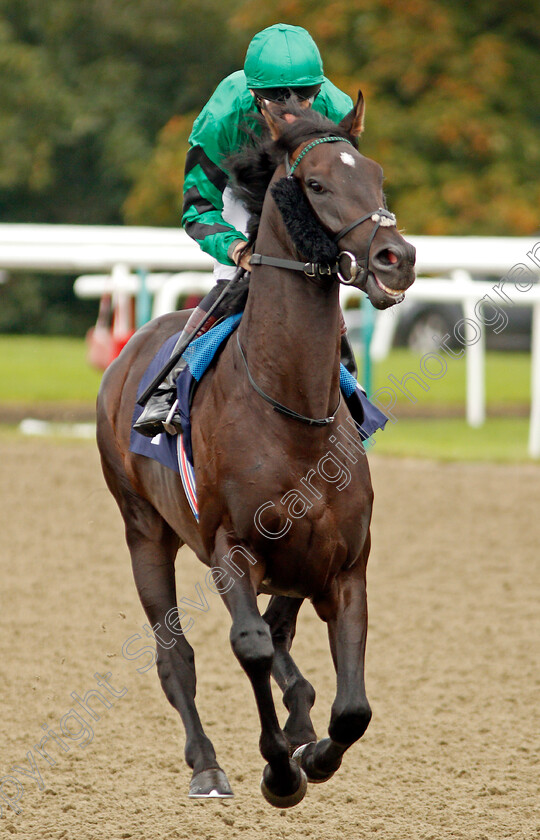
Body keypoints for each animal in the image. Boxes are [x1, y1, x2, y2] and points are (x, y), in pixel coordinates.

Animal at [97, 92, 416, 808]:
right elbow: (249, 645)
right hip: (143, 529)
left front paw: (313, 750)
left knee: (280, 633)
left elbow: (352, 707)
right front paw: (278, 769)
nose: (397, 257)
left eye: (378, 177)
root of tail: (130, 351)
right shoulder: (230, 549)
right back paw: (208, 765)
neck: (292, 414)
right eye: (316, 184)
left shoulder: (345, 564)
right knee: (178, 655)